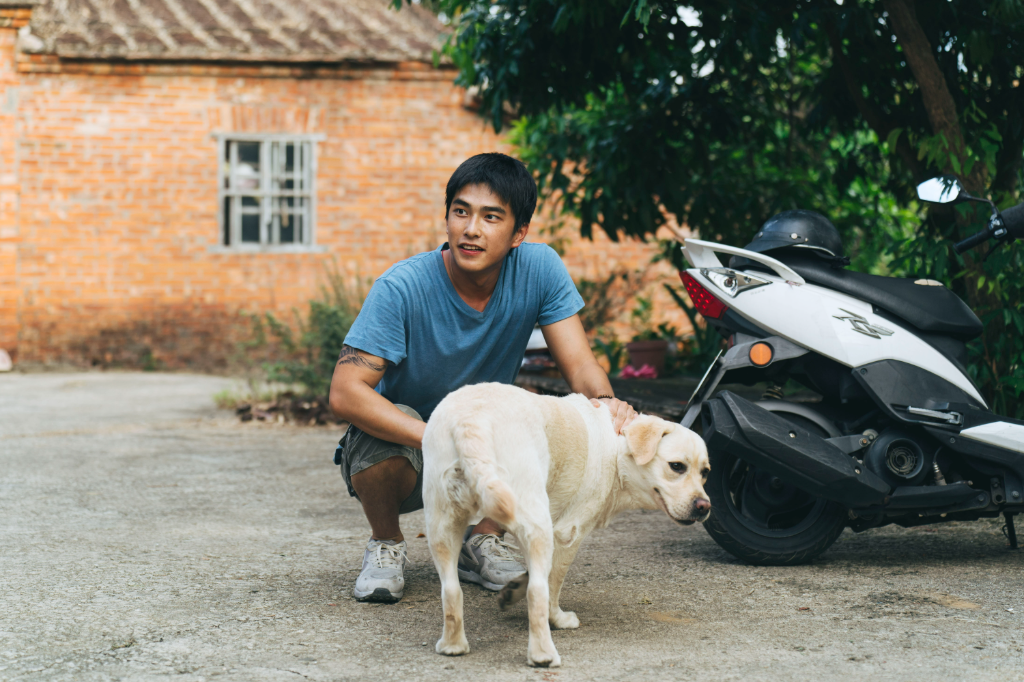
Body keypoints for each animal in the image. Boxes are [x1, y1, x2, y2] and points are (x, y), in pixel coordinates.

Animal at [422, 383, 711, 667]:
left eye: (705, 472)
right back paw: (543, 655)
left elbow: (533, 575)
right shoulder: (566, 535)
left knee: (451, 590)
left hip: (442, 529)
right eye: (677, 466)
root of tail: (471, 420)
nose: (704, 507)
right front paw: (557, 619)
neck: (618, 449)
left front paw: (513, 590)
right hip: (536, 524)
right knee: (538, 593)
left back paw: (453, 646)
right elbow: (551, 585)